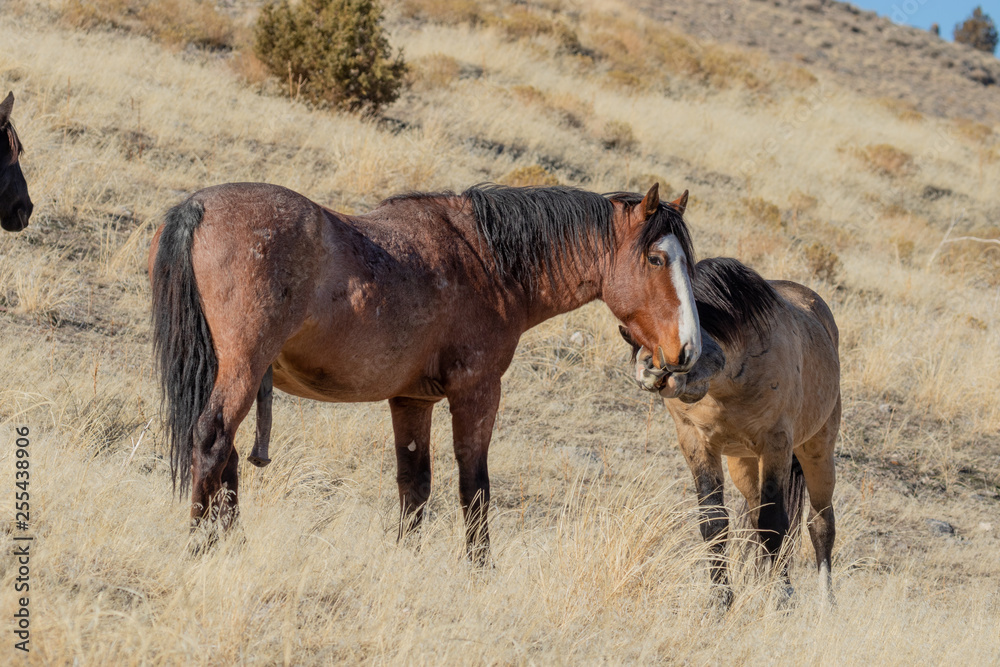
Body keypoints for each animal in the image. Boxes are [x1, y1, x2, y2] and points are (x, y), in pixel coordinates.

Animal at [149, 182, 702, 560]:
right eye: (656, 259)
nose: (687, 350)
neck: (486, 261)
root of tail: (198, 207)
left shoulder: (411, 400)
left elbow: (414, 484)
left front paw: (406, 558)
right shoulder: (477, 392)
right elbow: (473, 487)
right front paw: (480, 569)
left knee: (227, 455)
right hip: (241, 370)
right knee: (213, 440)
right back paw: (198, 543)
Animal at [623, 257, 840, 606]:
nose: (652, 370)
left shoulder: (776, 444)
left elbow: (775, 523)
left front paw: (781, 599)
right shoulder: (695, 441)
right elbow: (715, 521)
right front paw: (721, 599)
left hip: (817, 450)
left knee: (820, 524)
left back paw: (826, 603)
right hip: (743, 463)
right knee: (756, 516)